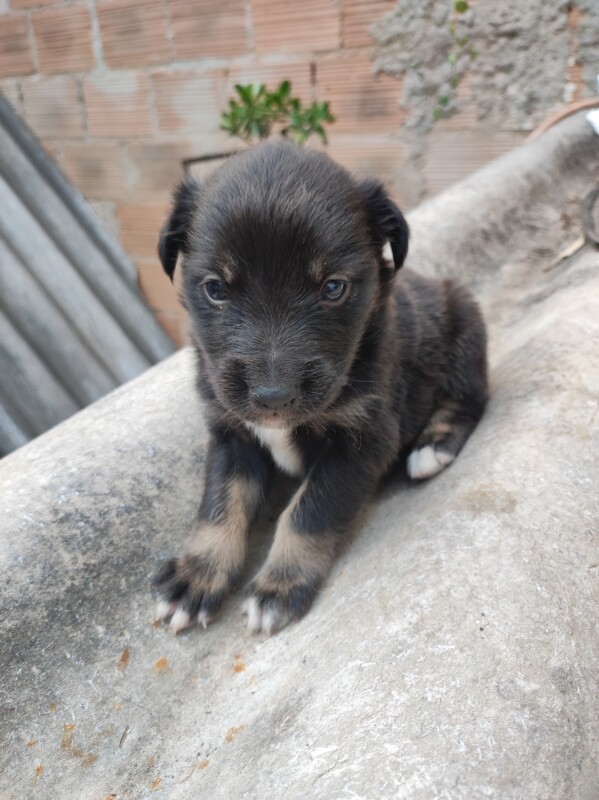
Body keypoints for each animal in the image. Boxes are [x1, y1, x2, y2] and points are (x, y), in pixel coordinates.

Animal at [154, 139, 488, 636]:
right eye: (215, 288)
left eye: (333, 288)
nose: (272, 397)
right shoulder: (231, 434)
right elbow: (219, 504)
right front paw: (196, 577)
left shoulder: (365, 438)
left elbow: (308, 512)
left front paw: (279, 586)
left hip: (465, 321)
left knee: (471, 397)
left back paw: (432, 446)